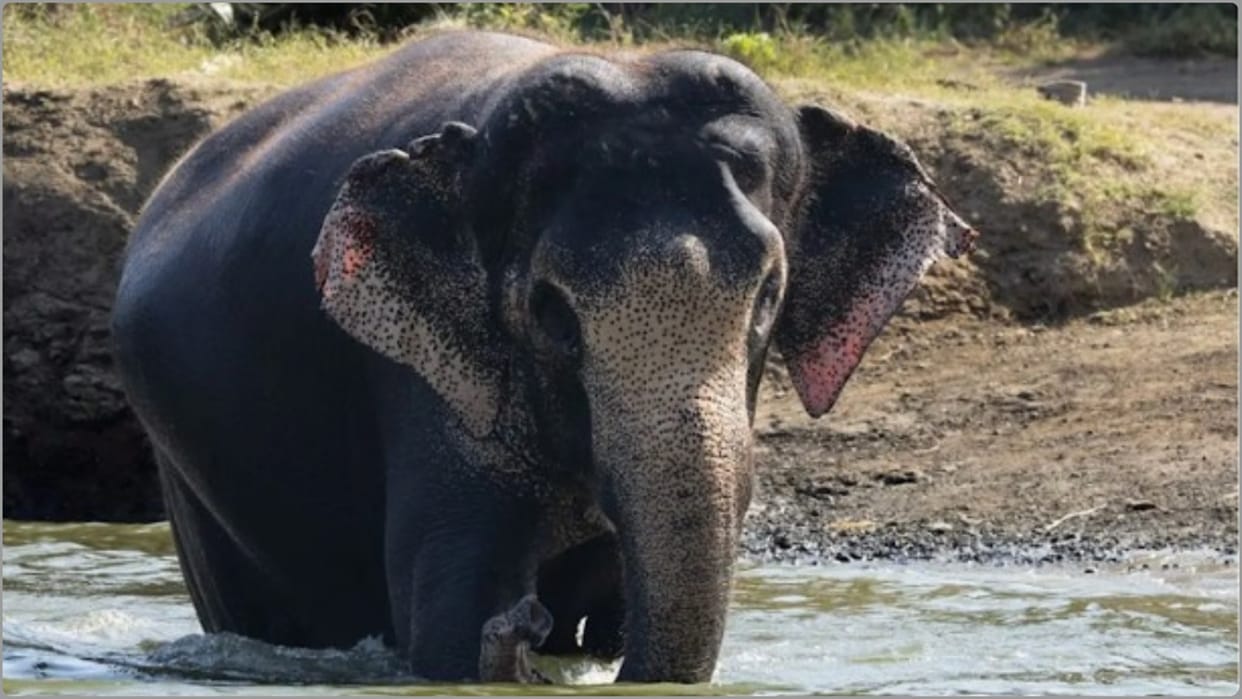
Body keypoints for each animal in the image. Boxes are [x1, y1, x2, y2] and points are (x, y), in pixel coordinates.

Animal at [111, 30, 976, 684]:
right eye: (549, 312)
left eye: (768, 296)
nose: (530, 625)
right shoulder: (426, 384)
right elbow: (450, 614)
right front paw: (497, 632)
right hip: (188, 471)